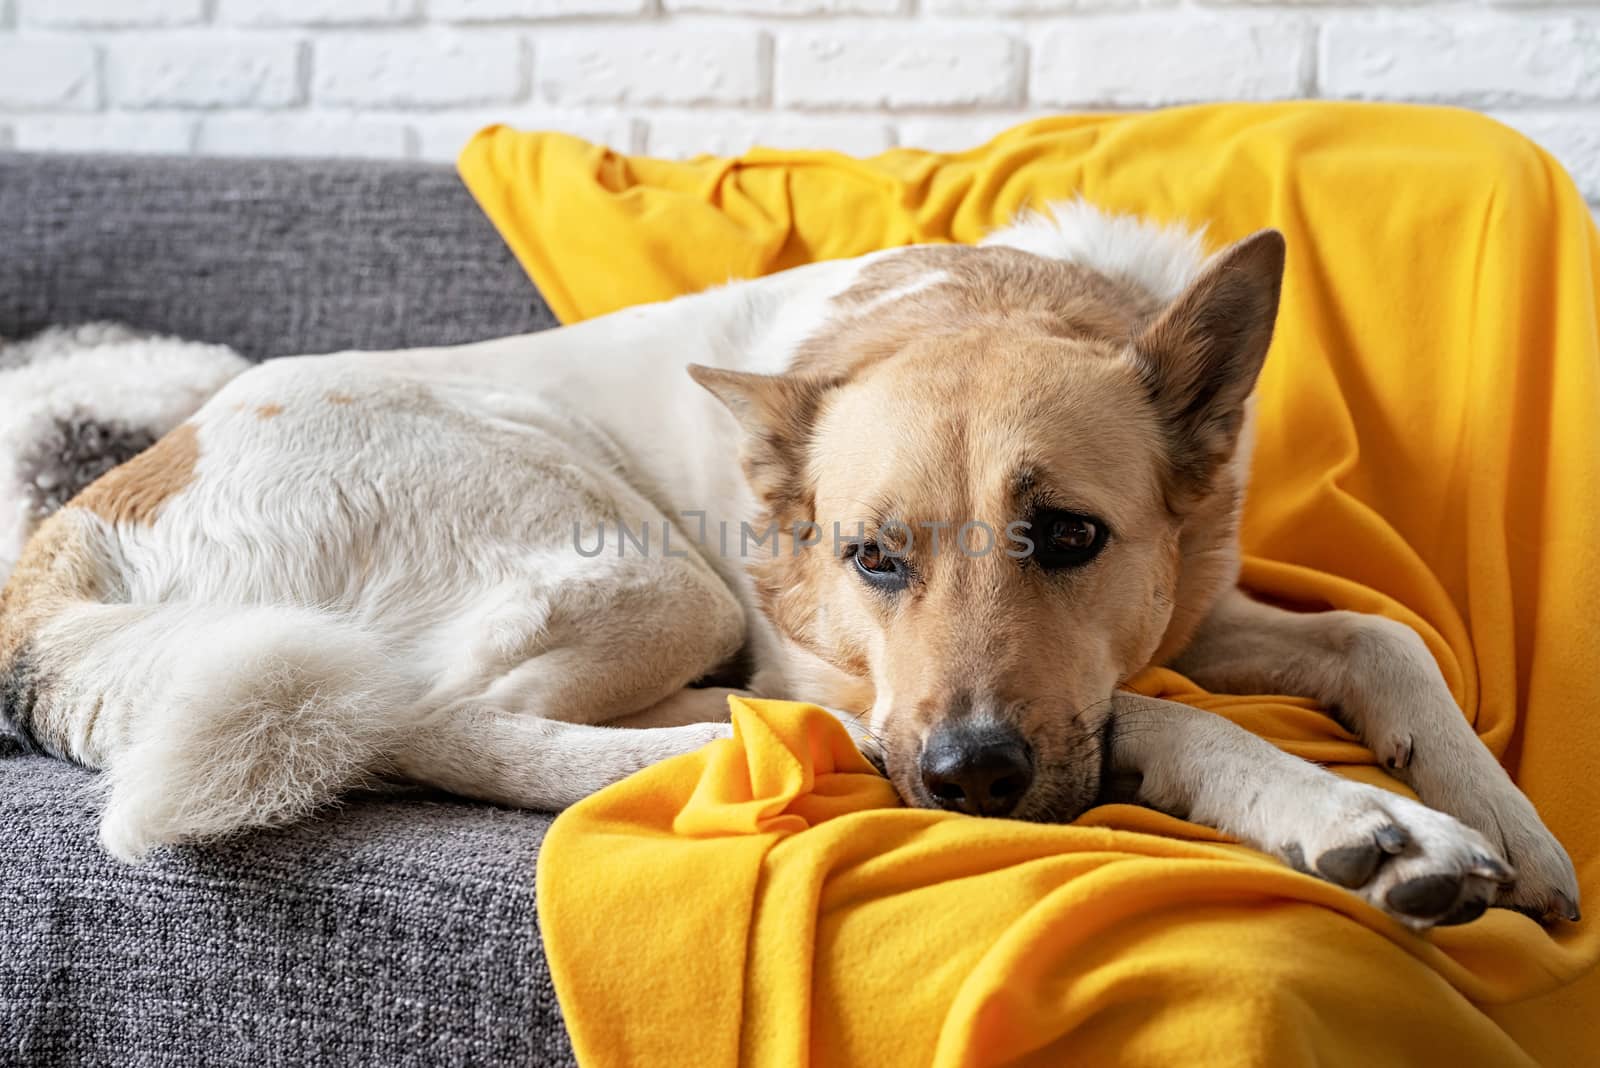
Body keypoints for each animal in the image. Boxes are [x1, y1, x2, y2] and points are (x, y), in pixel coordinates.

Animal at [0, 198, 1580, 927]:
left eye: (1071, 536)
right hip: (644, 572)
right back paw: (760, 742)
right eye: (872, 557)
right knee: (436, 721)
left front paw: (1509, 820)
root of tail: (70, 536)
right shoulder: (873, 659)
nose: (963, 780)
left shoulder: (1196, 597)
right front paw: (1360, 821)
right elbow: (1162, 713)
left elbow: (1382, 639)